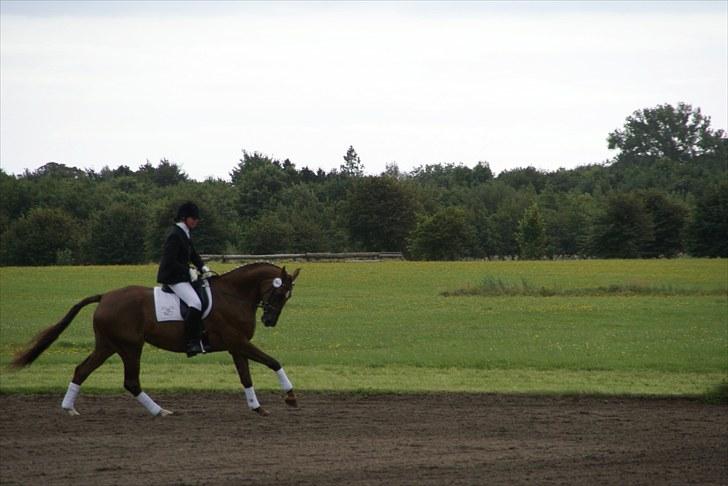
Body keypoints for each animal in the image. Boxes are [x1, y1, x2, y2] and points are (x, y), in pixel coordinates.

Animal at [9, 262, 298, 418]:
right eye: (279, 292)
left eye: (287, 296)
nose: (269, 320)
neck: (233, 295)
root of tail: (105, 297)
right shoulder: (238, 342)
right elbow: (274, 362)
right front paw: (290, 397)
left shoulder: (236, 347)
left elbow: (246, 377)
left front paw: (257, 408)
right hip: (130, 347)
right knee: (131, 382)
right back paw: (160, 411)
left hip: (108, 346)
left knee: (82, 370)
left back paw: (69, 408)